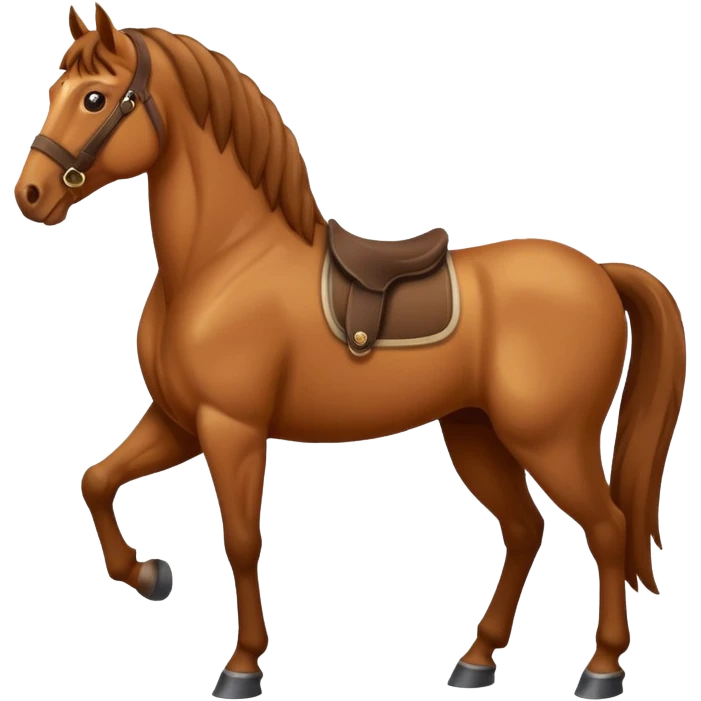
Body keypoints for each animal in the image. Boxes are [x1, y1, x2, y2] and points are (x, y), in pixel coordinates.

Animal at [14, 4, 687, 700]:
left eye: (94, 98)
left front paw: (242, 665)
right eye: (54, 91)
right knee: (527, 530)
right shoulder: (178, 422)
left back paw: (601, 668)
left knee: (607, 528)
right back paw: (477, 660)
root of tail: (601, 272)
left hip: (552, 440)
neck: (223, 260)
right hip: (475, 433)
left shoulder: (232, 429)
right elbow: (96, 479)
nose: (30, 194)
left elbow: (242, 541)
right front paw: (150, 576)